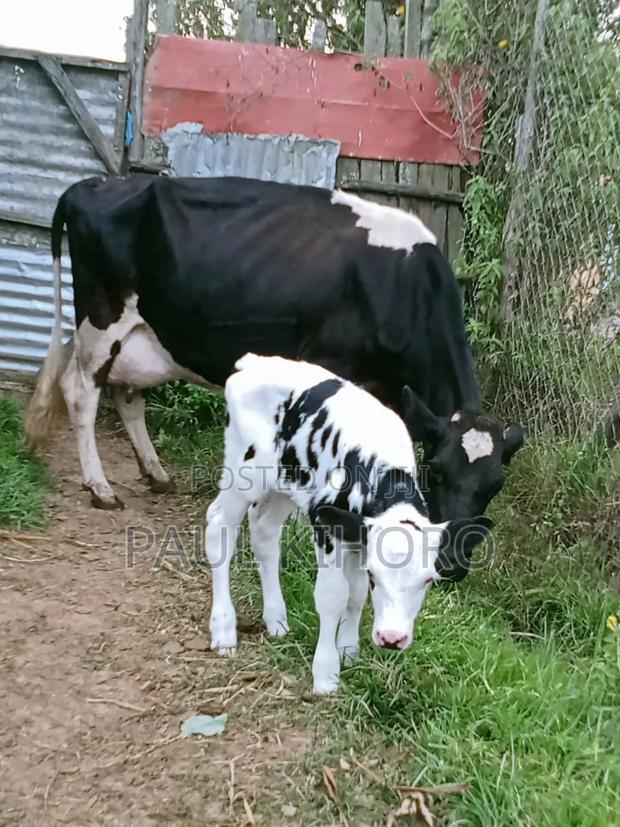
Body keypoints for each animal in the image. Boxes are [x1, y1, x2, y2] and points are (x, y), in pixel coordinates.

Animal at [25, 175, 523, 519]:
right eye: (437, 470)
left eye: (494, 486)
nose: (453, 561)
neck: (402, 285)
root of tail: (93, 183)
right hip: (101, 321)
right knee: (80, 392)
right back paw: (100, 488)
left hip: (142, 335)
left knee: (128, 397)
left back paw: (156, 474)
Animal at [207, 354, 492, 693]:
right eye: (375, 576)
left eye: (428, 580)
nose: (392, 639)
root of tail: (253, 363)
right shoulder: (326, 525)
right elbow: (333, 595)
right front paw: (326, 674)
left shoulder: (359, 536)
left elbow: (355, 595)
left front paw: (349, 651)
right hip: (243, 473)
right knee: (219, 527)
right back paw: (224, 629)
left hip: (286, 485)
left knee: (264, 531)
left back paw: (276, 620)